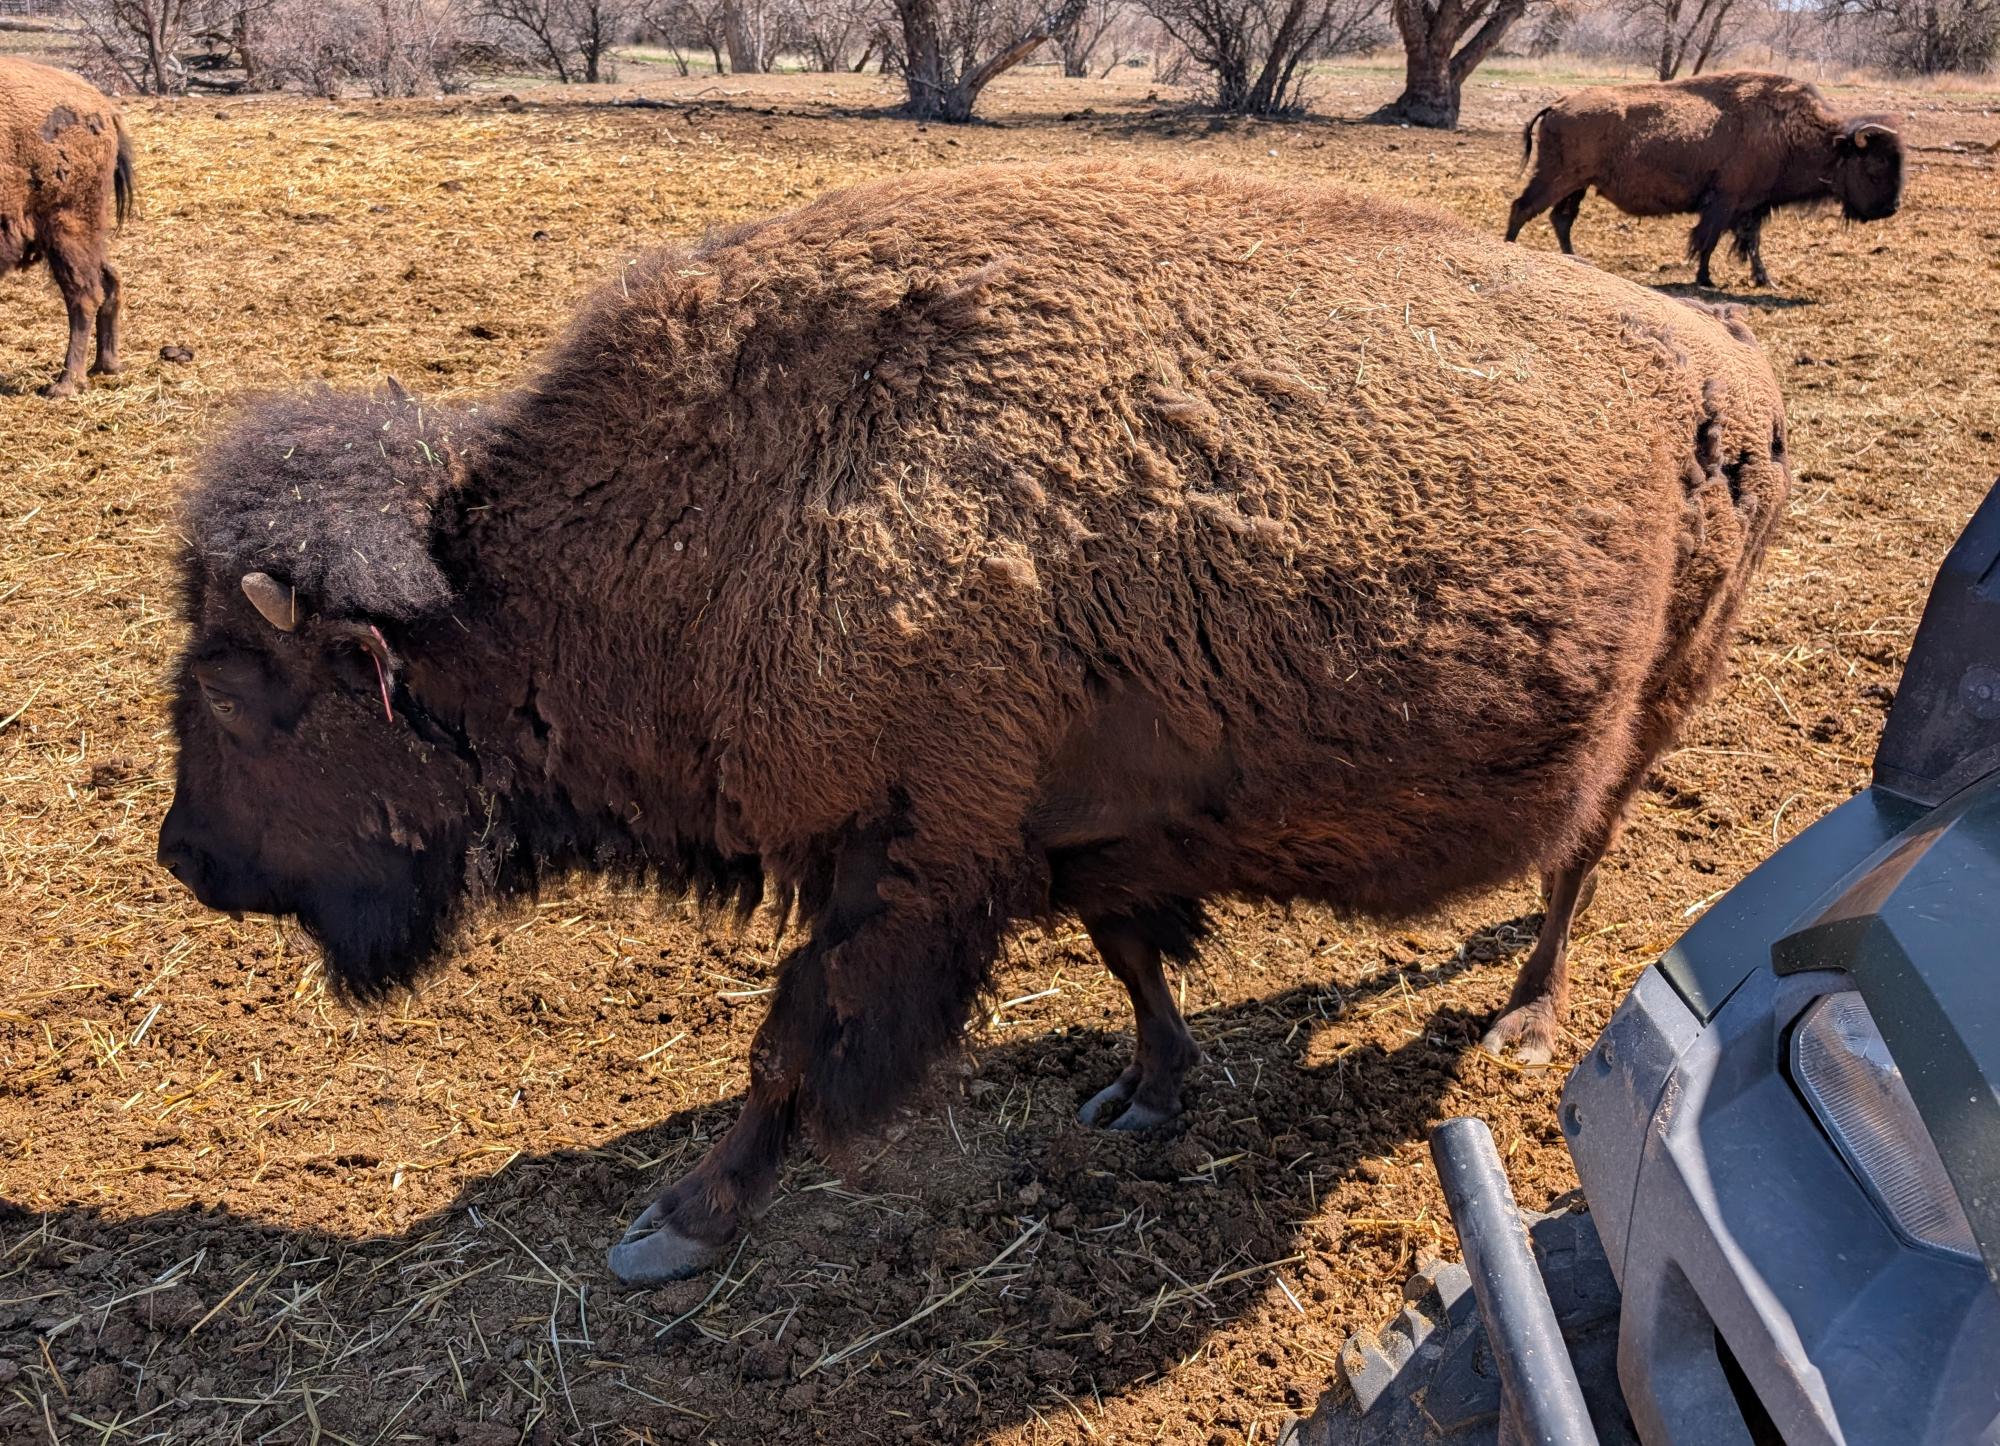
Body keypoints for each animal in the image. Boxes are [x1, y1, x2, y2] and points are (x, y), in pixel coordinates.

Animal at [0, 57, 133, 398]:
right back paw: (106, 366)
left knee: (83, 296)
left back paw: (65, 385)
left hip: (66, 228)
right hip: (84, 234)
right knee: (109, 281)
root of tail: (103, 109)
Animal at [159, 162, 1791, 1284]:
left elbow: (791, 1046)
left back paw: (1523, 1024)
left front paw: (673, 1225)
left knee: (1575, 866)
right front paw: (1139, 1095)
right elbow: (1131, 956)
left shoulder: (905, 860)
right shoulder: (1063, 833)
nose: (184, 856)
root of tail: (1738, 370)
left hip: (1657, 705)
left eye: (244, 688)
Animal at [1506, 71, 1903, 289]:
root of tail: (1558, 103)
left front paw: (1765, 279)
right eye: (1875, 165)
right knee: (1523, 207)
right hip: (1556, 178)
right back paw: (1511, 249)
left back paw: (1576, 261)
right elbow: (1708, 240)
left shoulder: (1751, 207)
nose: (1892, 208)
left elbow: (1750, 243)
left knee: (1561, 219)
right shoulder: (1725, 202)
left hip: (1577, 185)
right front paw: (1705, 279)